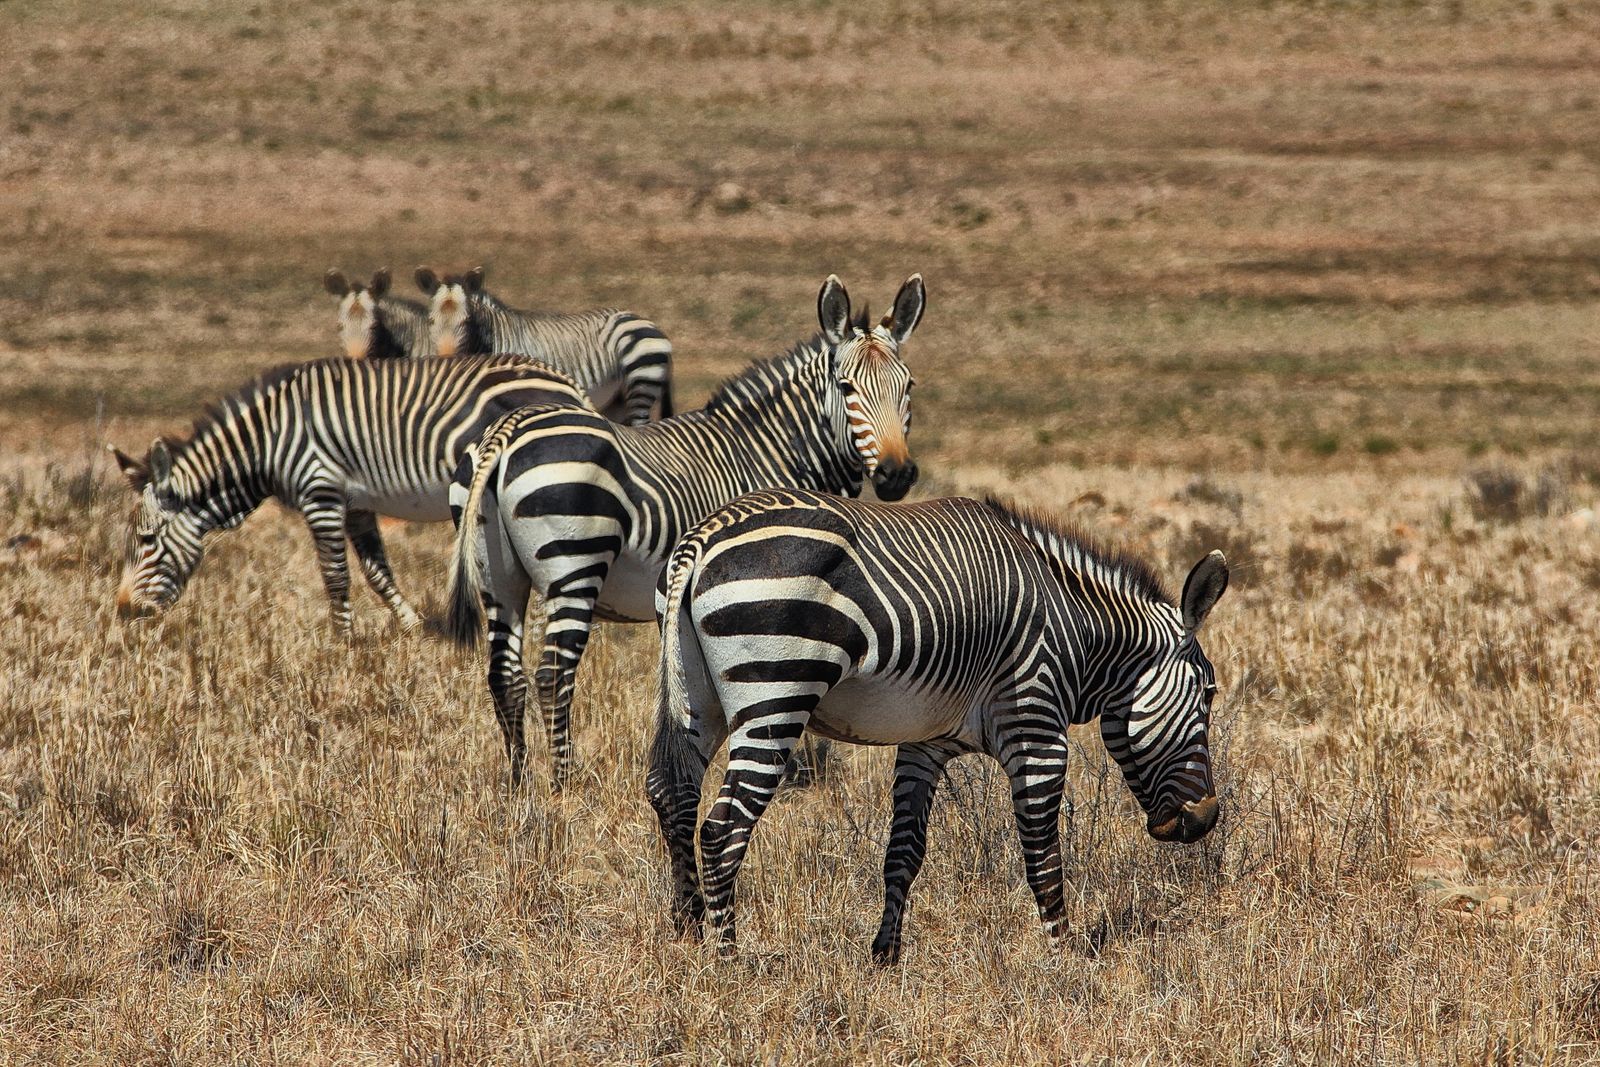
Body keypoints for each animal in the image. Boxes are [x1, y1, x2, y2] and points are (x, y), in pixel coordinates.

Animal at [111, 355, 587, 634]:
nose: (124, 611)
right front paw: (412, 629)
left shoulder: (321, 492)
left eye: (146, 540)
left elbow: (335, 575)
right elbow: (378, 572)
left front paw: (344, 647)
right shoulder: (358, 503)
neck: (266, 445)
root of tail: (566, 383)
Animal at [416, 265, 673, 426]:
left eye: (467, 321)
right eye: (430, 320)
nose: (446, 360)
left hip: (641, 382)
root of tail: (649, 323)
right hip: (617, 398)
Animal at [446, 274, 926, 787]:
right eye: (847, 387)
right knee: (552, 674)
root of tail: (507, 431)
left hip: (497, 573)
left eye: (908, 386)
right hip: (573, 565)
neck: (775, 450)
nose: (897, 475)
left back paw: (520, 781)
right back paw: (563, 780)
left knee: (504, 674)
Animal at [645, 487, 1229, 964]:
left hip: (698, 697)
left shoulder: (924, 743)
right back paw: (728, 959)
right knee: (722, 827)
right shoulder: (1037, 727)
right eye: (1209, 693)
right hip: (777, 694)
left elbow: (904, 851)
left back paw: (688, 934)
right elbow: (1043, 851)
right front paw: (1064, 956)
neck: (1079, 634)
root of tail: (702, 538)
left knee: (672, 794)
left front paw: (886, 955)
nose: (1205, 819)